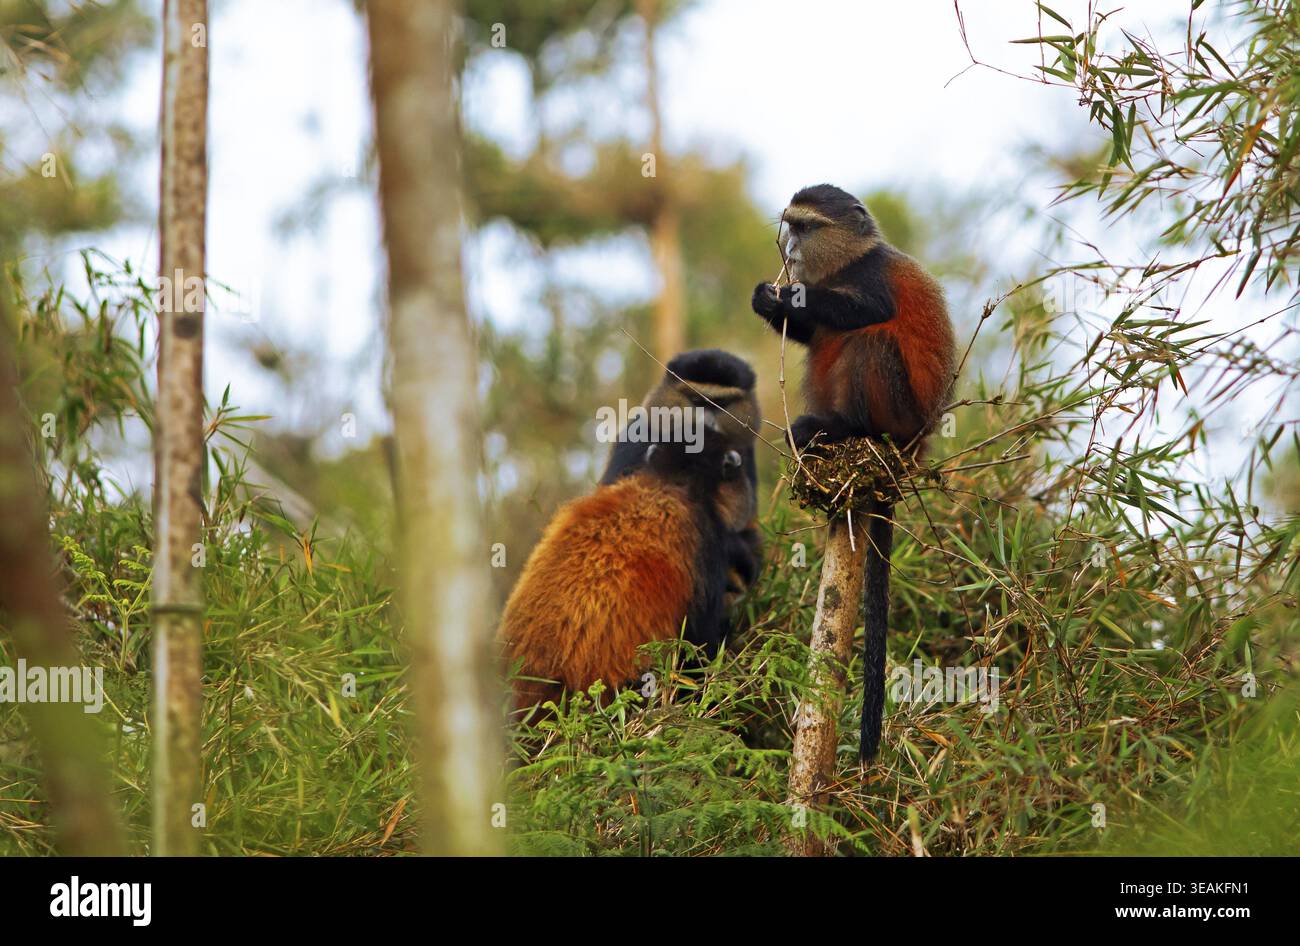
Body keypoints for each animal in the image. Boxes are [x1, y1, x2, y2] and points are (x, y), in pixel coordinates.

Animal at [750, 183, 957, 762]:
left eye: (805, 227)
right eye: (790, 227)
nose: (790, 252)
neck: (850, 260)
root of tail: (912, 448)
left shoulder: (870, 277)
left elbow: (870, 309)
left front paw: (787, 296)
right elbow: (809, 333)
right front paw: (767, 300)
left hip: (899, 415)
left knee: (871, 339)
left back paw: (843, 427)